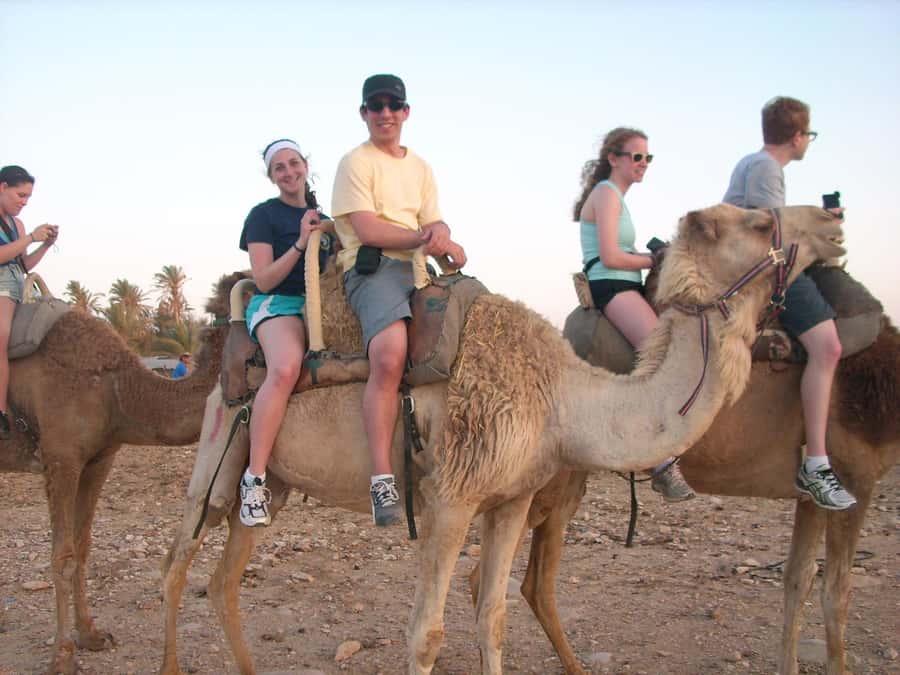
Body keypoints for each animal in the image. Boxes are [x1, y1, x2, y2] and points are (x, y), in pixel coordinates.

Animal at [2, 279, 232, 675]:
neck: (116, 387)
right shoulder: (61, 458)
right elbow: (62, 556)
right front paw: (63, 657)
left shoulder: (99, 459)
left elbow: (81, 546)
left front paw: (91, 636)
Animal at [159, 205, 847, 675]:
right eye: (757, 220)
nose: (834, 220)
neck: (562, 399)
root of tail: (230, 331)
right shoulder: (451, 498)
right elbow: (426, 633)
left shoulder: (513, 499)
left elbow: (492, 616)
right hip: (220, 448)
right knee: (176, 563)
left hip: (271, 481)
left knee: (224, 578)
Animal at [468, 294, 899, 675]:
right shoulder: (856, 478)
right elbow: (836, 594)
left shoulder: (810, 499)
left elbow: (799, 579)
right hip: (545, 480)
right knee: (514, 579)